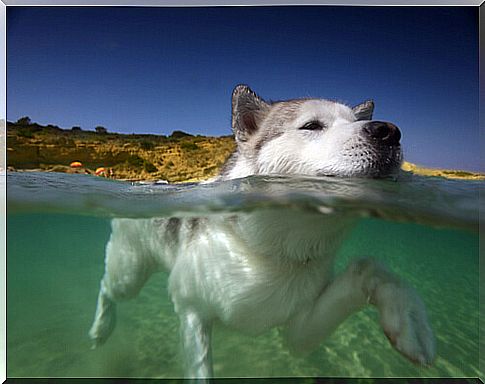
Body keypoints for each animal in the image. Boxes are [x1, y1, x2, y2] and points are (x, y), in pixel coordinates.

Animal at [88, 85, 434, 378]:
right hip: (128, 273)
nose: (389, 131)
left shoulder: (297, 330)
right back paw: (101, 327)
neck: (268, 252)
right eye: (312, 126)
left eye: (357, 120)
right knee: (107, 286)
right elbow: (200, 367)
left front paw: (409, 321)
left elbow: (370, 269)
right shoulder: (192, 311)